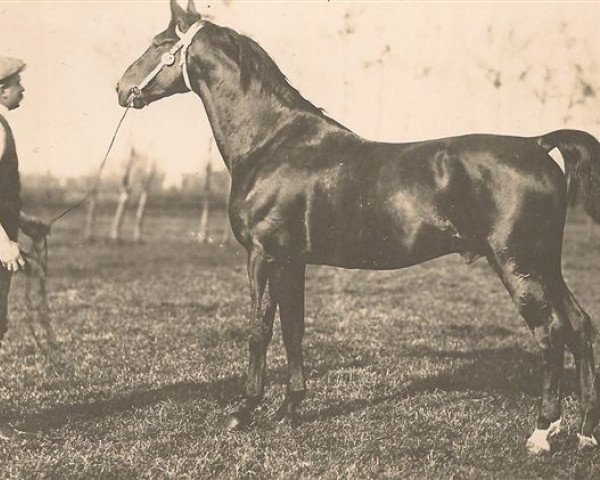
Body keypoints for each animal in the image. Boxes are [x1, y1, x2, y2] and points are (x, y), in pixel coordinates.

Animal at [118, 0, 600, 454]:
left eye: (159, 44)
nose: (122, 89)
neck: (272, 142)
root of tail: (537, 144)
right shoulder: (291, 260)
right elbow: (293, 328)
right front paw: (290, 409)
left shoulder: (262, 254)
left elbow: (259, 329)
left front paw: (244, 411)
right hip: (545, 264)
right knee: (580, 325)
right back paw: (583, 433)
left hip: (518, 266)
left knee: (551, 333)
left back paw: (542, 432)